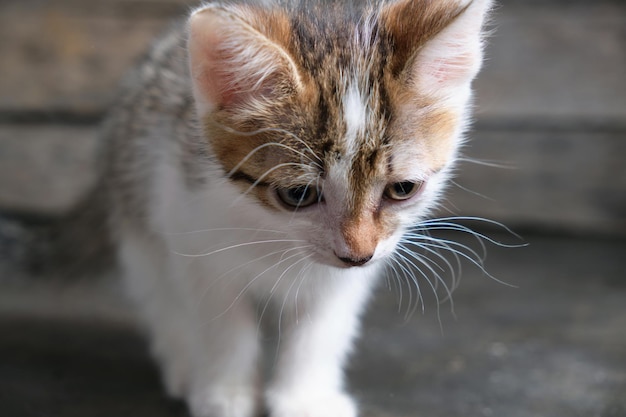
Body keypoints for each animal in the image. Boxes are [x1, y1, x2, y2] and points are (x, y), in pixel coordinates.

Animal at [101, 0, 492, 416]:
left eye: (403, 189)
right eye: (298, 194)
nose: (357, 255)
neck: (274, 234)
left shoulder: (344, 277)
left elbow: (320, 327)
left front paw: (306, 399)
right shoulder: (190, 224)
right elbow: (220, 322)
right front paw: (226, 394)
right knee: (158, 290)